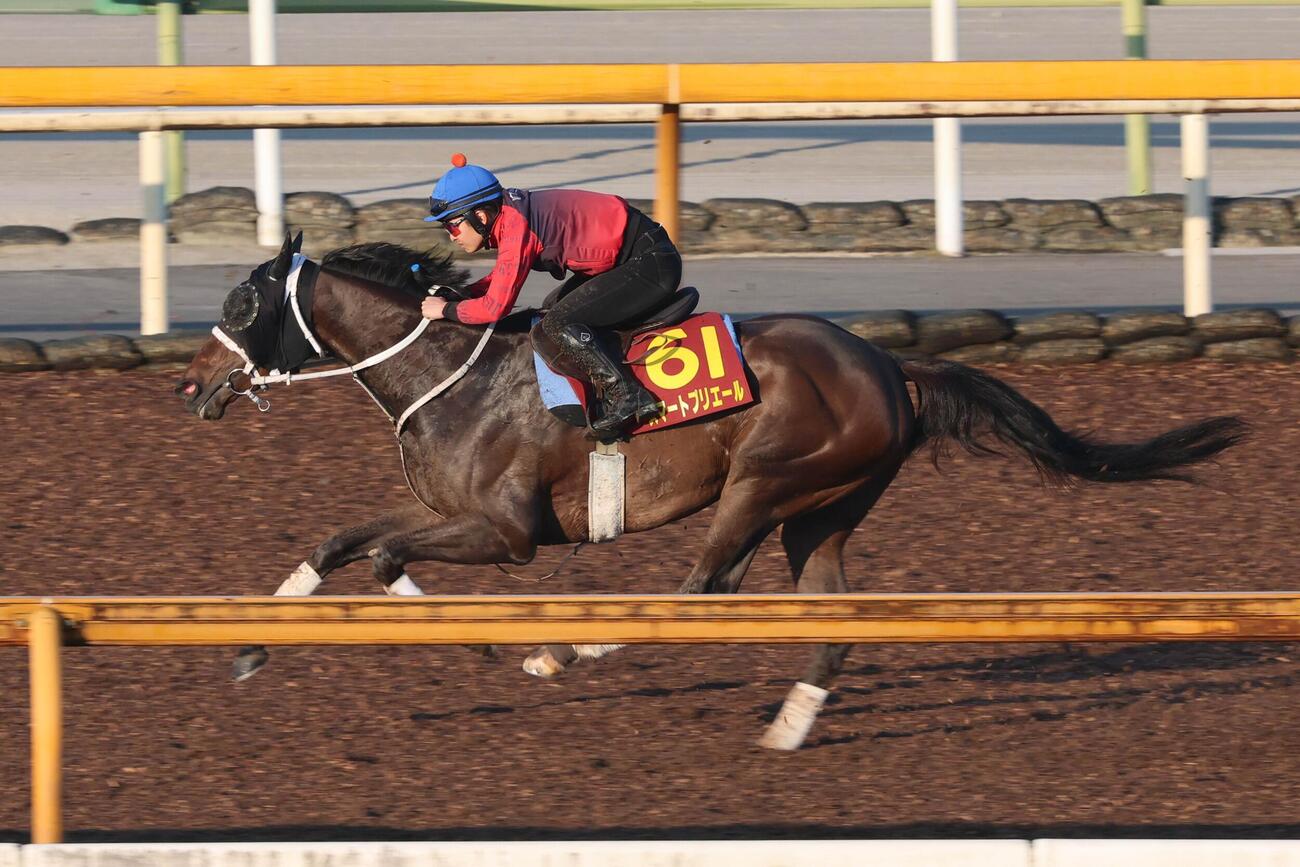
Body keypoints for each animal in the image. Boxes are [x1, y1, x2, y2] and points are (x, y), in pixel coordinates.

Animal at [176, 232, 1246, 750]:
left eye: (242, 300)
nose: (191, 383)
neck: (454, 369)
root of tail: (889, 364)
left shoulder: (508, 531)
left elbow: (389, 554)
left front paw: (500, 647)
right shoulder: (450, 510)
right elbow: (340, 541)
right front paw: (251, 644)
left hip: (767, 480)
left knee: (706, 588)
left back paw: (580, 644)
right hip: (822, 512)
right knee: (831, 614)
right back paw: (790, 724)